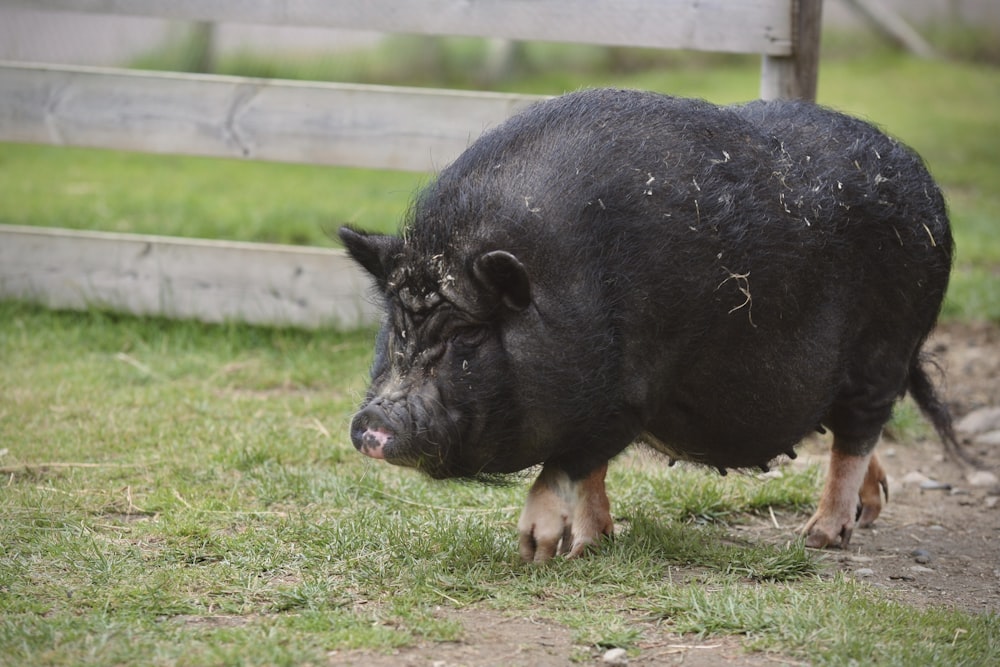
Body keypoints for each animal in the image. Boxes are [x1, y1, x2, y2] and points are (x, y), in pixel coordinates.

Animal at [342, 86, 960, 560]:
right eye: (398, 324)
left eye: (467, 334)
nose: (373, 421)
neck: (568, 282)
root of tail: (929, 189)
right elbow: (588, 474)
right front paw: (588, 547)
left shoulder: (628, 394)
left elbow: (567, 465)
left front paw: (535, 550)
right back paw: (867, 513)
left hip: (885, 346)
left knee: (858, 431)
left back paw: (819, 538)